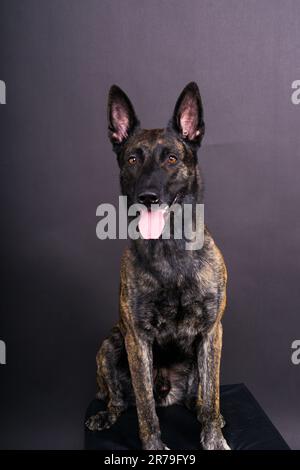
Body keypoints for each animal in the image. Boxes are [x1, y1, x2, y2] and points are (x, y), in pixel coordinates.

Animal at [85, 82, 231, 450]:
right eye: (133, 159)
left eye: (172, 159)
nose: (149, 197)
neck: (170, 251)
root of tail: (170, 392)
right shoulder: (137, 339)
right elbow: (145, 408)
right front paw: (153, 446)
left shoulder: (212, 332)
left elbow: (212, 395)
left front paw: (214, 438)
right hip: (110, 346)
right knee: (120, 398)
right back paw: (106, 414)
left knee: (199, 395)